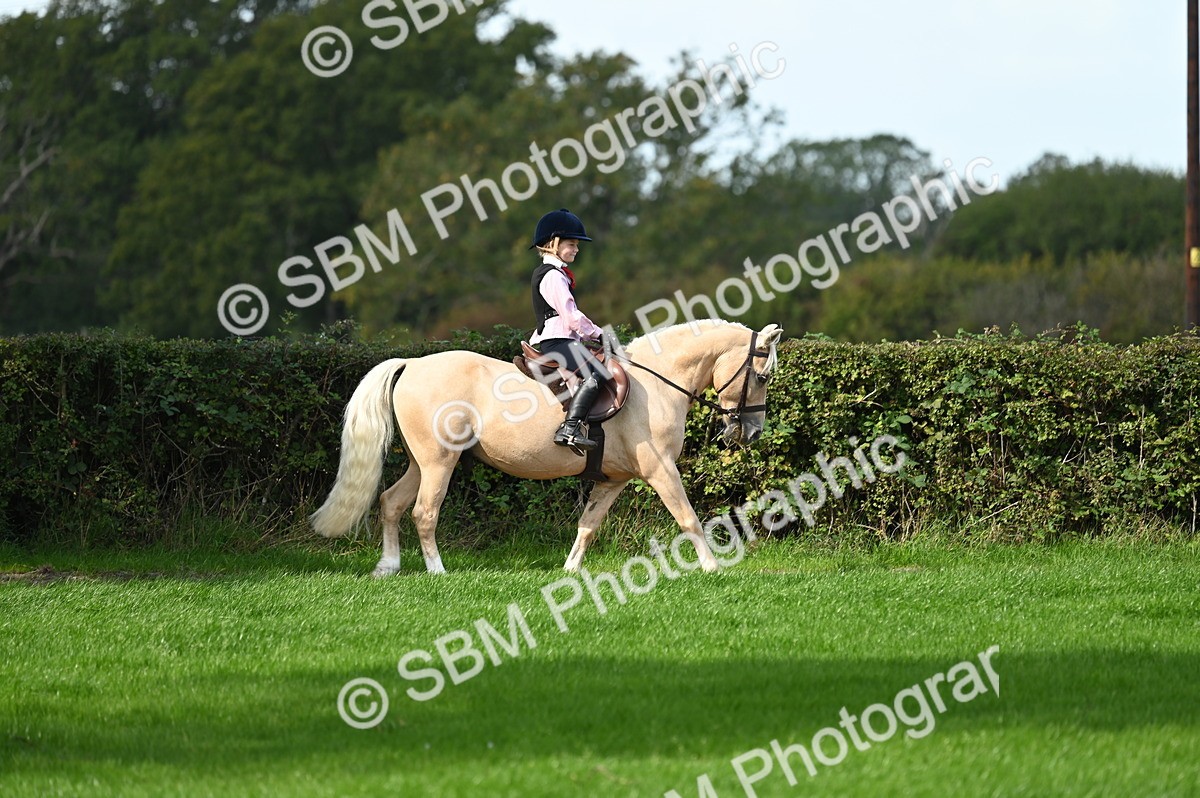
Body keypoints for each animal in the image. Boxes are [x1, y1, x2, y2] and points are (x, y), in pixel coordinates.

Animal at [310, 320, 784, 576]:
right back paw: (437, 571)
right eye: (761, 376)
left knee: (390, 503)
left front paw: (570, 569)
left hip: (419, 462)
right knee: (424, 513)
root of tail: (411, 364)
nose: (752, 433)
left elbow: (588, 526)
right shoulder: (660, 470)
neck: (657, 382)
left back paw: (389, 566)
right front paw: (711, 567)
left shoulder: (614, 480)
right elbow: (688, 518)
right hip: (439, 462)